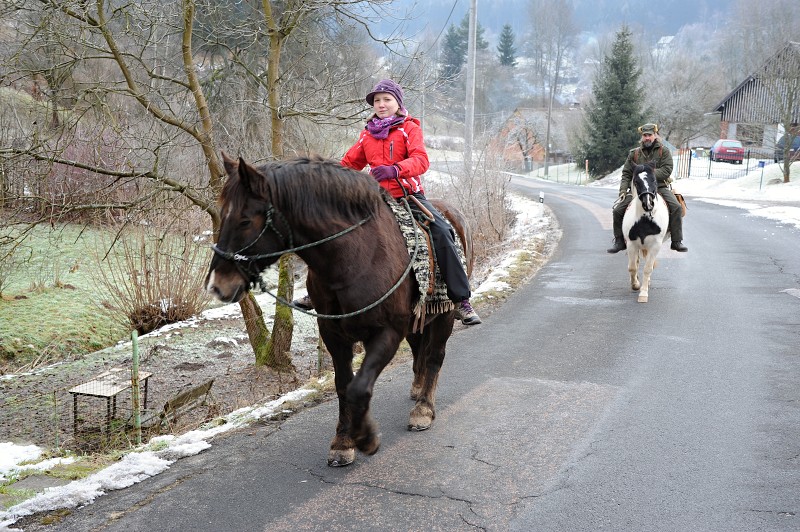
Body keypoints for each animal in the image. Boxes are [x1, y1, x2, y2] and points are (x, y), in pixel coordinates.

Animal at [206, 153, 476, 466]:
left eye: (245, 220)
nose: (217, 285)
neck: (357, 258)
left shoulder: (387, 332)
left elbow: (359, 387)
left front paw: (366, 437)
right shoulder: (333, 334)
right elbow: (344, 385)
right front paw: (344, 441)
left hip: (444, 315)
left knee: (434, 356)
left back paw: (423, 409)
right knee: (420, 351)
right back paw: (417, 389)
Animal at [620, 162, 672, 304]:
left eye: (654, 180)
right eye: (636, 182)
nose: (648, 203)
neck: (645, 219)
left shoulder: (655, 246)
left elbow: (648, 268)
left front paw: (643, 293)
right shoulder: (631, 244)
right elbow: (632, 267)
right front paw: (635, 284)